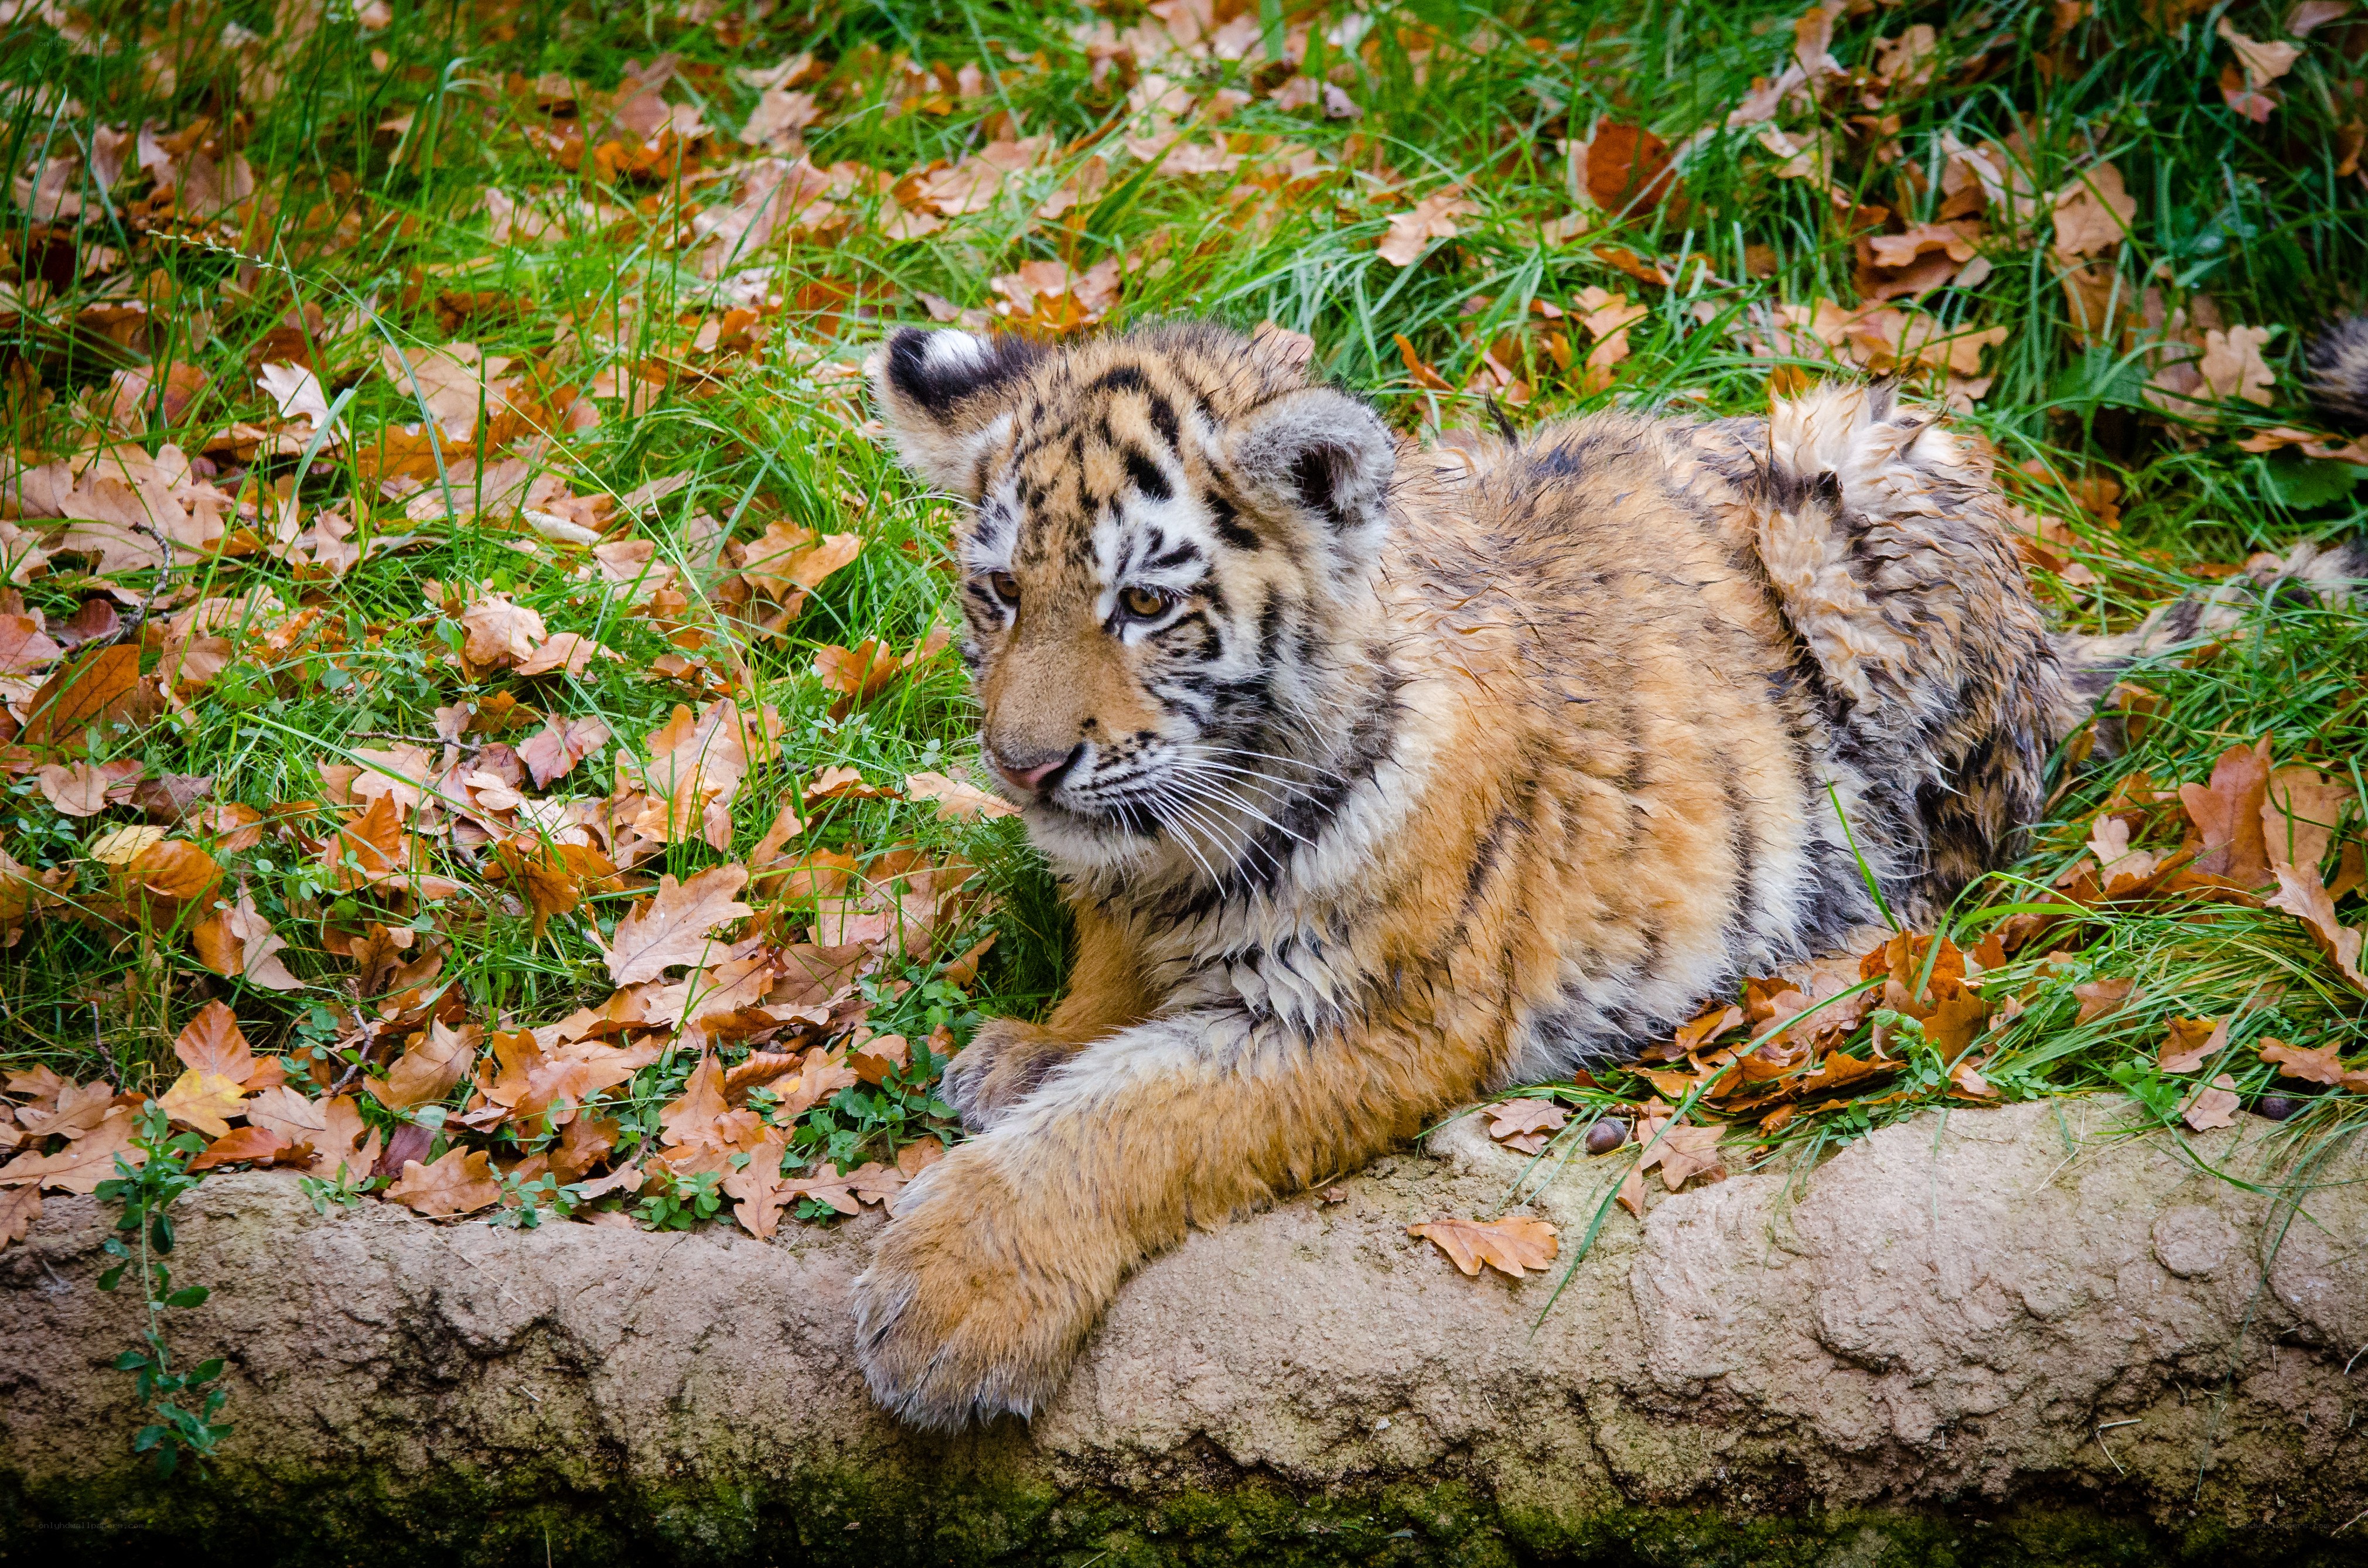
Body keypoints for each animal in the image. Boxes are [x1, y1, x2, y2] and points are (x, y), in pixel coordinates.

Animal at [851, 319, 2065, 1432]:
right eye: (1000, 590)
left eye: (1145, 605)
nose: (1023, 766)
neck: (1177, 850)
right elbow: (1103, 989)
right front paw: (1041, 1045)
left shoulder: (1378, 1015)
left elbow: (1129, 1122)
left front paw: (945, 1299)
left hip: (1846, 482)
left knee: (1955, 866)